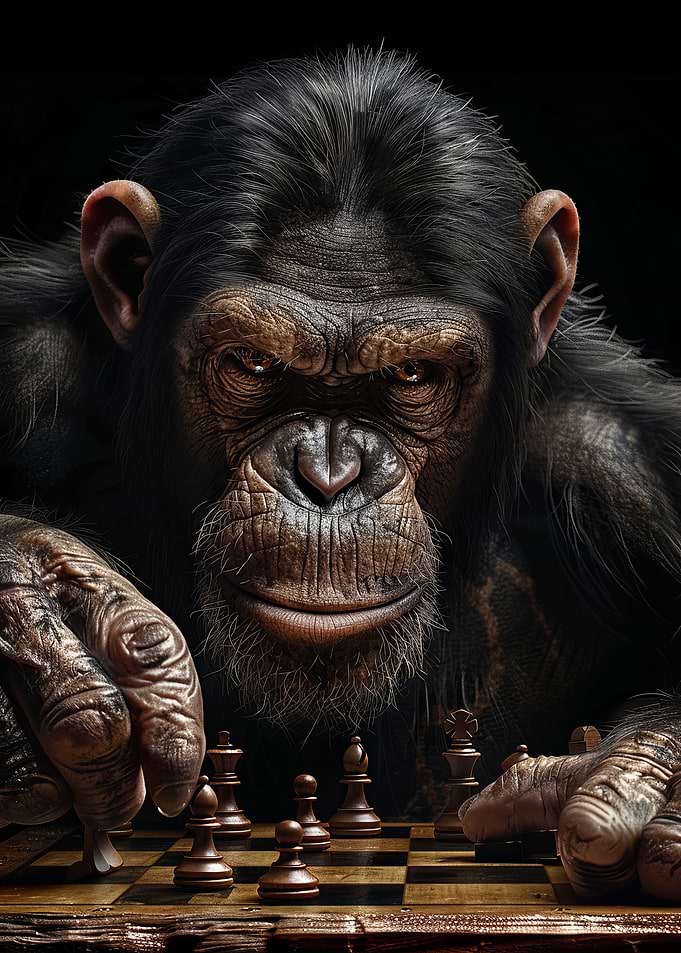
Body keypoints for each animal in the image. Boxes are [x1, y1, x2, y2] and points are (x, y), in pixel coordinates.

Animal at [1, 48, 681, 901]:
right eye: (252, 361)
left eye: (413, 374)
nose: (328, 475)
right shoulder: (25, 361)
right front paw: (37, 601)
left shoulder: (637, 470)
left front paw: (649, 780)